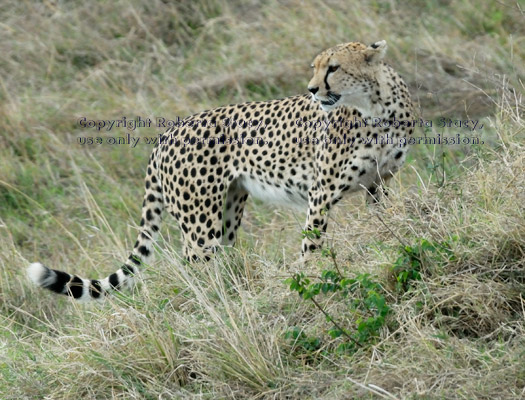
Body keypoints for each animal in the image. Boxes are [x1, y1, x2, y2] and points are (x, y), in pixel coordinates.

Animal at [27, 42, 414, 302]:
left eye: (333, 68)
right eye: (316, 68)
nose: (312, 89)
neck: (374, 108)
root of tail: (168, 132)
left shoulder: (379, 184)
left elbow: (383, 223)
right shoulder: (320, 194)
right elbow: (312, 244)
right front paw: (307, 276)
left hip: (227, 210)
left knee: (218, 256)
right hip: (200, 222)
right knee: (194, 263)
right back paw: (211, 304)